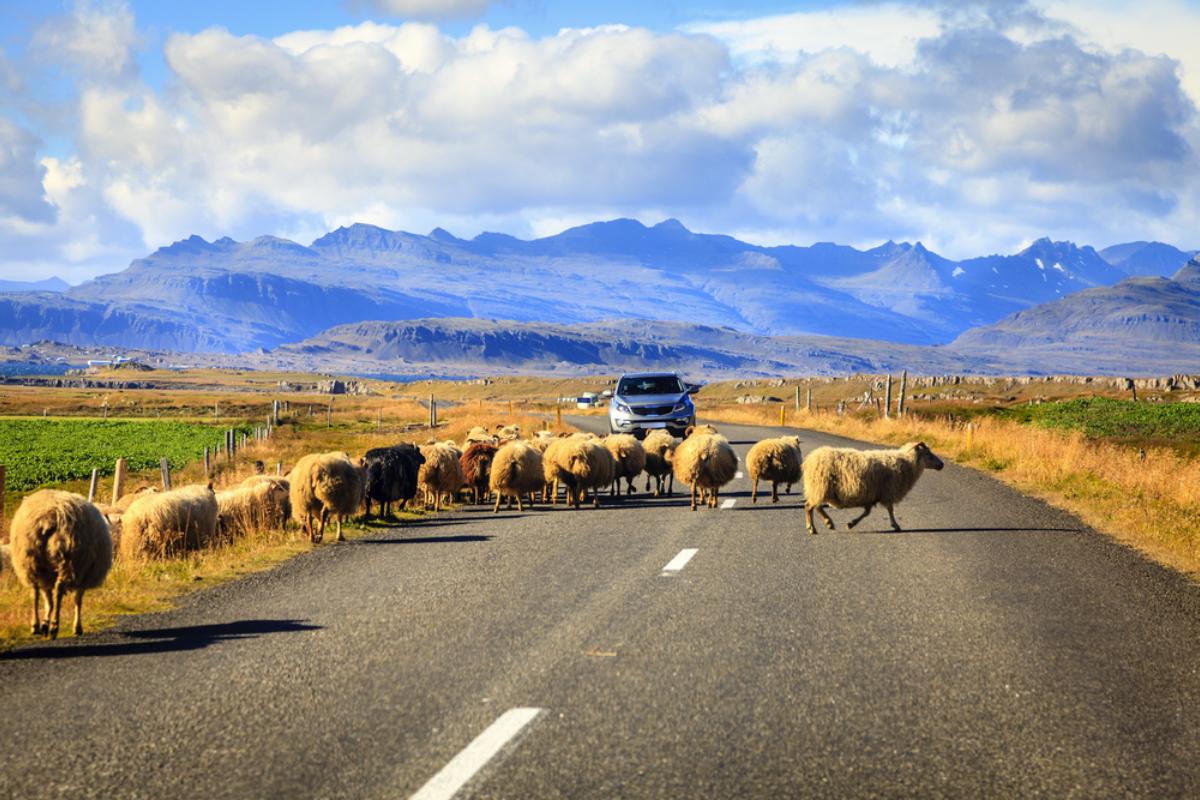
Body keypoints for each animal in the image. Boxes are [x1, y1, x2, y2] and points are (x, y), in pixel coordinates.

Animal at [8, 489, 112, 638]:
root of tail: (49, 517)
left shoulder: (48, 576)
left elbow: (48, 601)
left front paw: (45, 623)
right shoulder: (83, 575)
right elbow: (77, 601)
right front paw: (77, 627)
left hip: (30, 559)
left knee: (35, 591)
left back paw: (35, 625)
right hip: (69, 561)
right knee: (58, 591)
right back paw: (54, 627)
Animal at [806, 441, 945, 534]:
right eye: (928, 454)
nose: (942, 464)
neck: (907, 463)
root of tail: (812, 458)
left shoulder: (873, 495)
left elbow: (867, 513)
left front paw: (851, 524)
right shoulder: (887, 491)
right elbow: (890, 509)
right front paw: (895, 525)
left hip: (820, 488)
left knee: (813, 506)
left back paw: (817, 526)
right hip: (821, 486)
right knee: (811, 506)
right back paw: (820, 525)